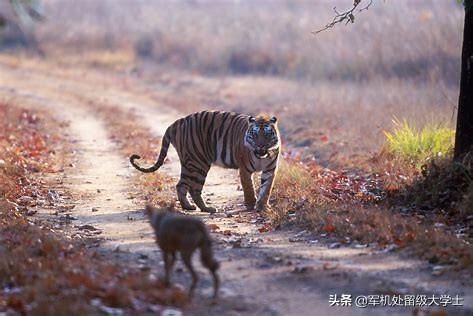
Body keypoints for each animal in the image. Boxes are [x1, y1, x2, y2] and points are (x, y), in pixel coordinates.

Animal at [128, 110, 280, 214]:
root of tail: (177, 122)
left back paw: (188, 207)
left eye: (267, 135)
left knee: (181, 185)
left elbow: (266, 189)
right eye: (254, 135)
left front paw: (263, 207)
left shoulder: (270, 170)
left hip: (189, 162)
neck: (262, 156)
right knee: (194, 188)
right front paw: (250, 205)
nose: (261, 146)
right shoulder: (244, 169)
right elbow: (248, 187)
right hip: (199, 162)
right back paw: (207, 209)